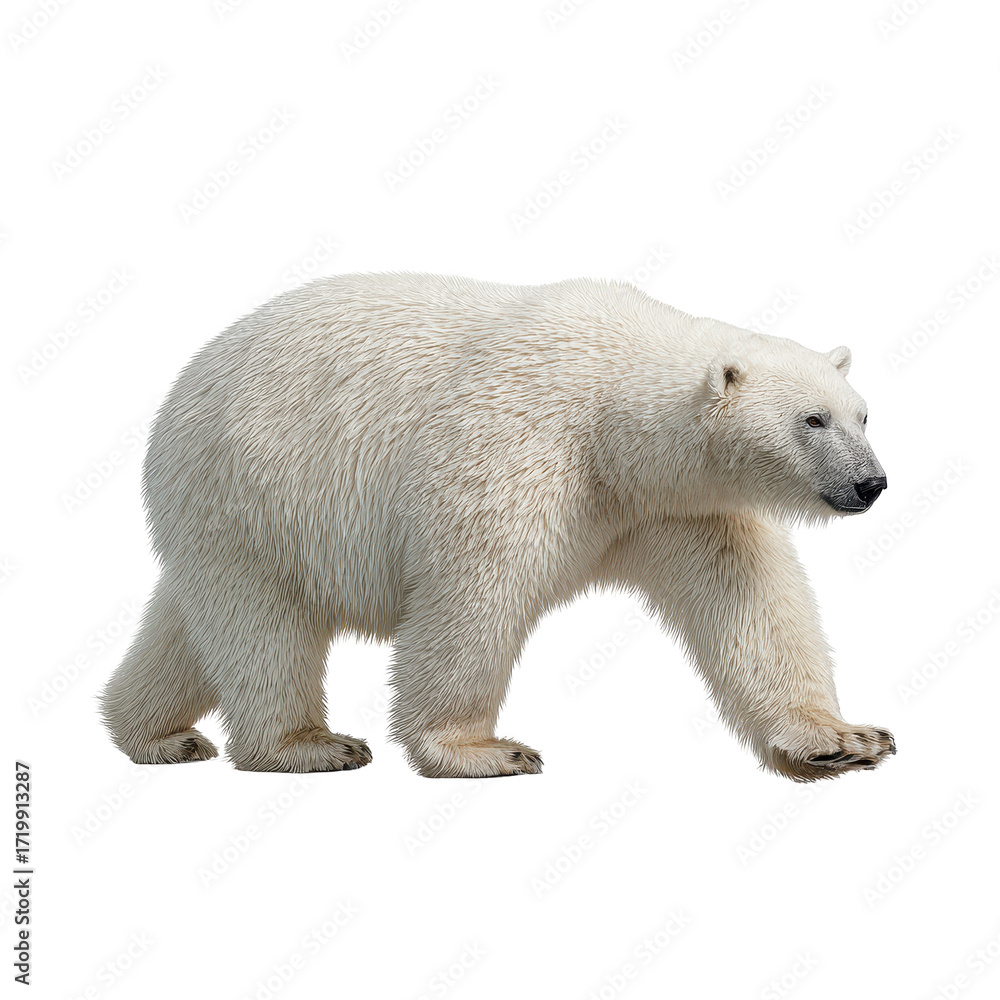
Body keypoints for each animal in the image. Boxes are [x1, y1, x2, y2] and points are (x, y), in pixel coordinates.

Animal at [100, 272, 895, 781]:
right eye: (812, 420)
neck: (616, 411)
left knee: (190, 624)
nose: (871, 484)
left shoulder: (671, 504)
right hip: (255, 488)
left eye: (862, 414)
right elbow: (474, 588)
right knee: (264, 626)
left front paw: (844, 738)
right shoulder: (522, 443)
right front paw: (483, 750)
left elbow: (747, 599)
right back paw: (309, 744)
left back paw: (154, 733)